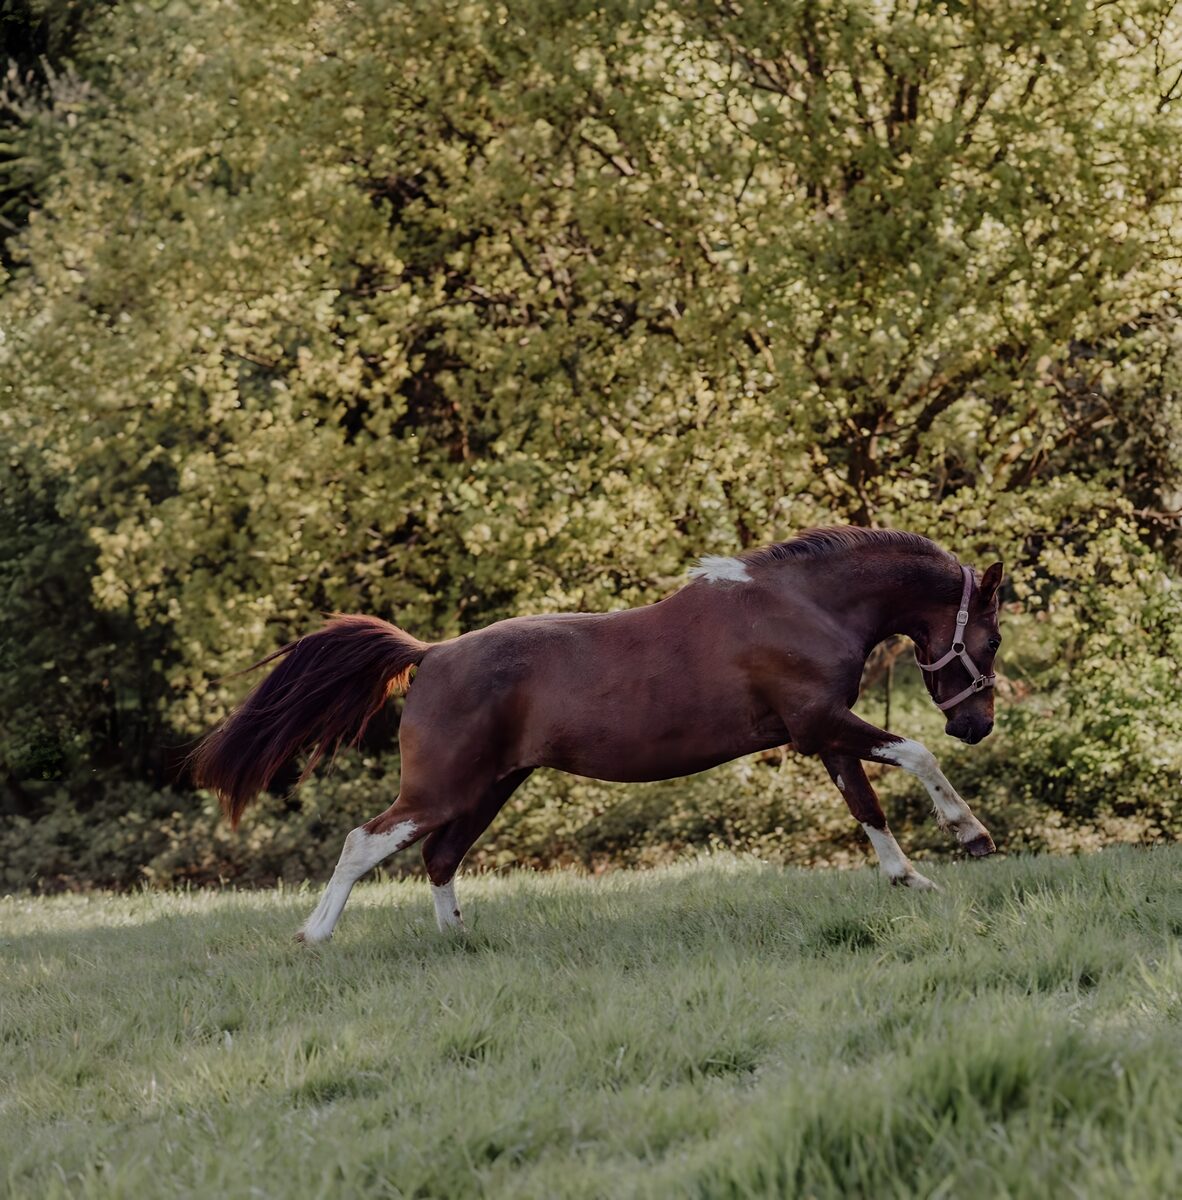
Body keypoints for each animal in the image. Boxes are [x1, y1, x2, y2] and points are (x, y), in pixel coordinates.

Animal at [193, 526, 1004, 942]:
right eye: (992, 640)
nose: (976, 725)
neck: (802, 604)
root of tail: (432, 654)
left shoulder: (823, 734)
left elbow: (867, 808)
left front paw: (910, 879)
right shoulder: (820, 726)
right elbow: (913, 754)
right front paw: (971, 835)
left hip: (491, 787)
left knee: (439, 855)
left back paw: (458, 938)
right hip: (443, 787)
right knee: (367, 841)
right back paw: (314, 935)